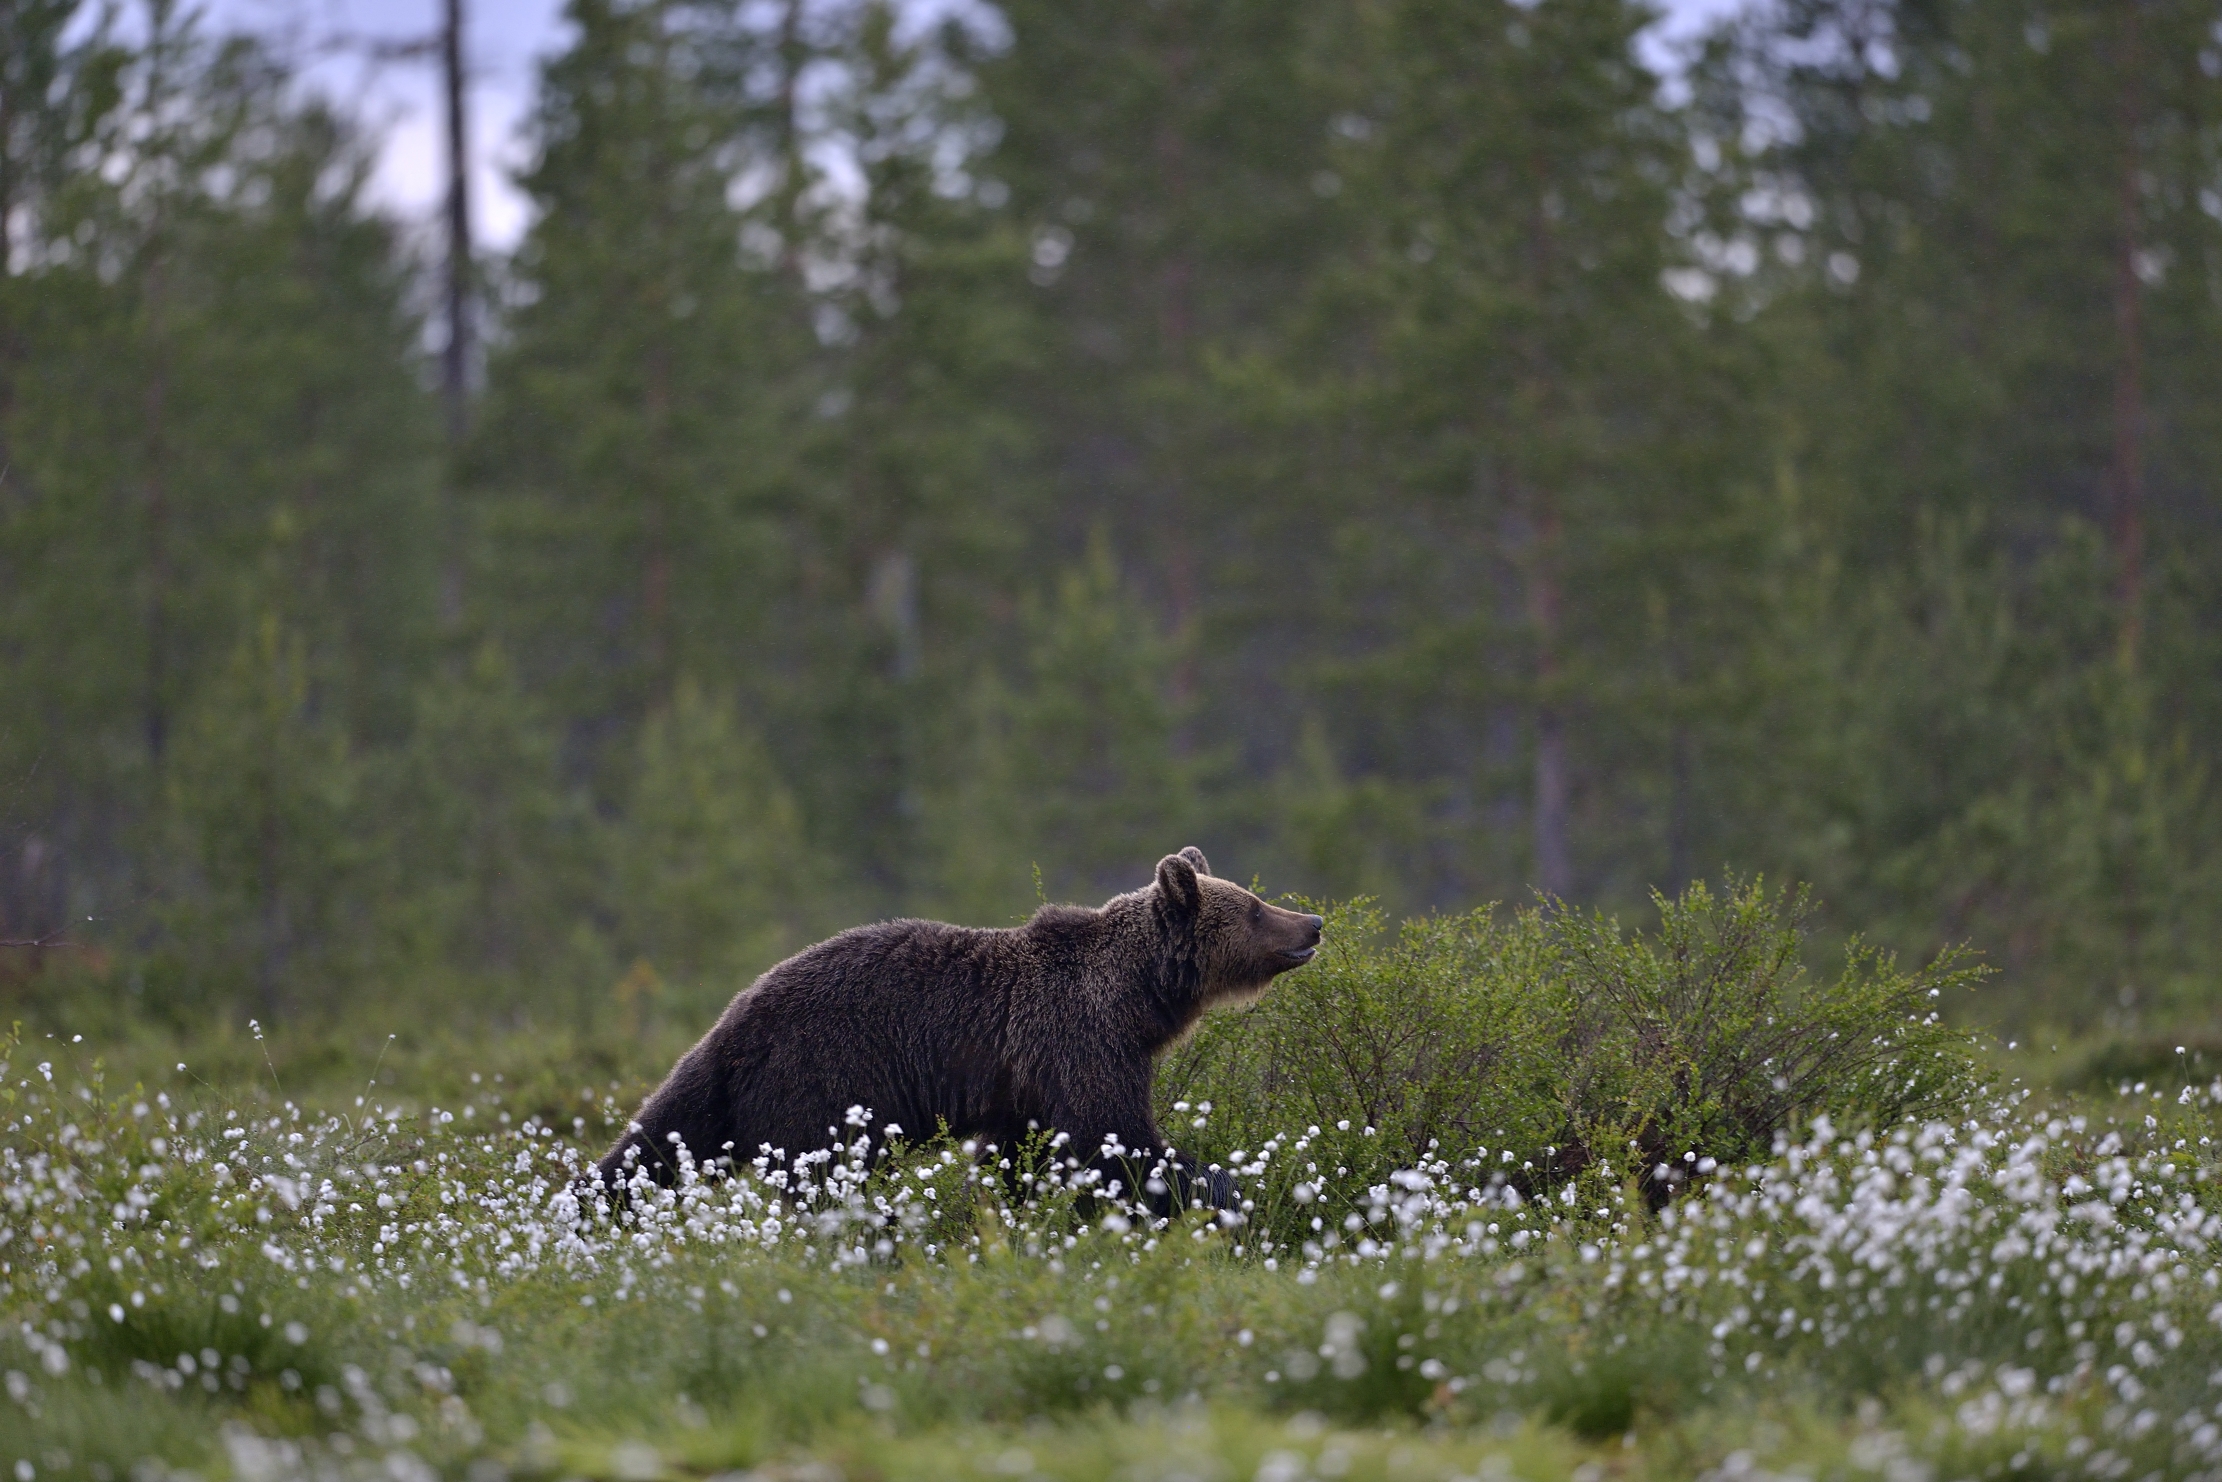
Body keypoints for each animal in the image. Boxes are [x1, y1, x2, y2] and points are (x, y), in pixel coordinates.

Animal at [591, 846, 1323, 1209]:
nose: (1313, 923)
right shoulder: (1076, 1040)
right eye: (1255, 908)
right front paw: (1237, 1188)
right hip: (820, 1073)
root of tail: (730, 1022)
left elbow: (1022, 1155)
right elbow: (1114, 1138)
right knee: (818, 1172)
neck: (1134, 1000)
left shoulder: (1024, 1082)